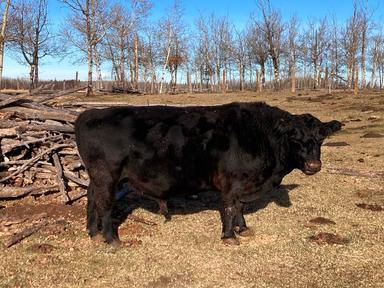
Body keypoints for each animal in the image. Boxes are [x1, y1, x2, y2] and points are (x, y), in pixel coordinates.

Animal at [75, 102, 342, 244]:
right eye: (295, 138)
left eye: (321, 138)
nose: (313, 166)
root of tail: (88, 114)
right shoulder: (232, 184)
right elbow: (230, 208)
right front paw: (229, 236)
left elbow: (240, 208)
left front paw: (243, 229)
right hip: (107, 176)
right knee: (105, 204)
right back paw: (111, 238)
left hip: (97, 178)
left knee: (91, 198)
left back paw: (93, 232)